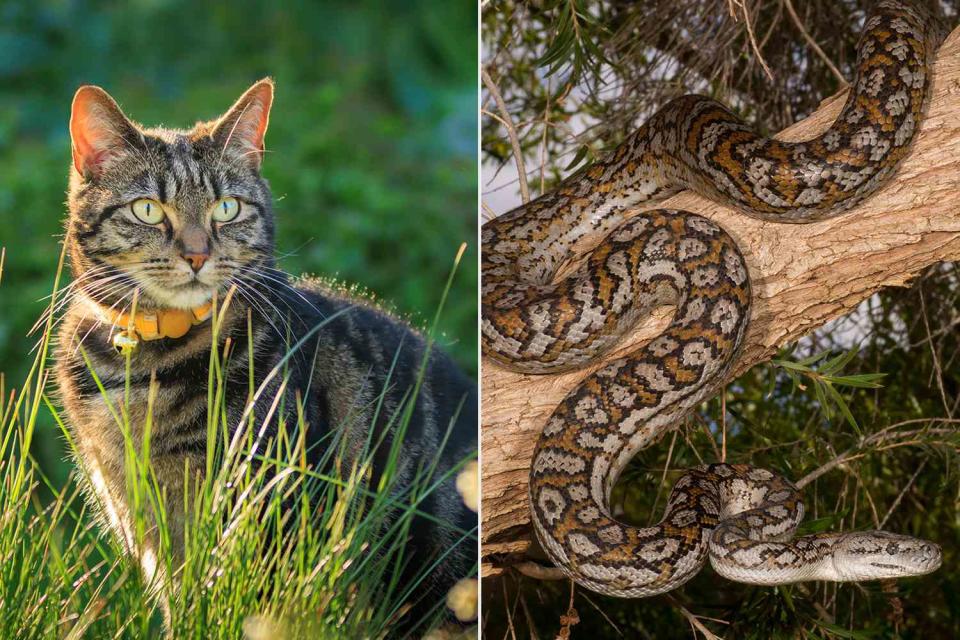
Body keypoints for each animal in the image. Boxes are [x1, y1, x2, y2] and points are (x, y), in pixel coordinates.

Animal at [52, 79, 476, 624]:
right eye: (147, 209)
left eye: (227, 208)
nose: (197, 254)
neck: (145, 364)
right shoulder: (139, 517)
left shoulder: (266, 511)